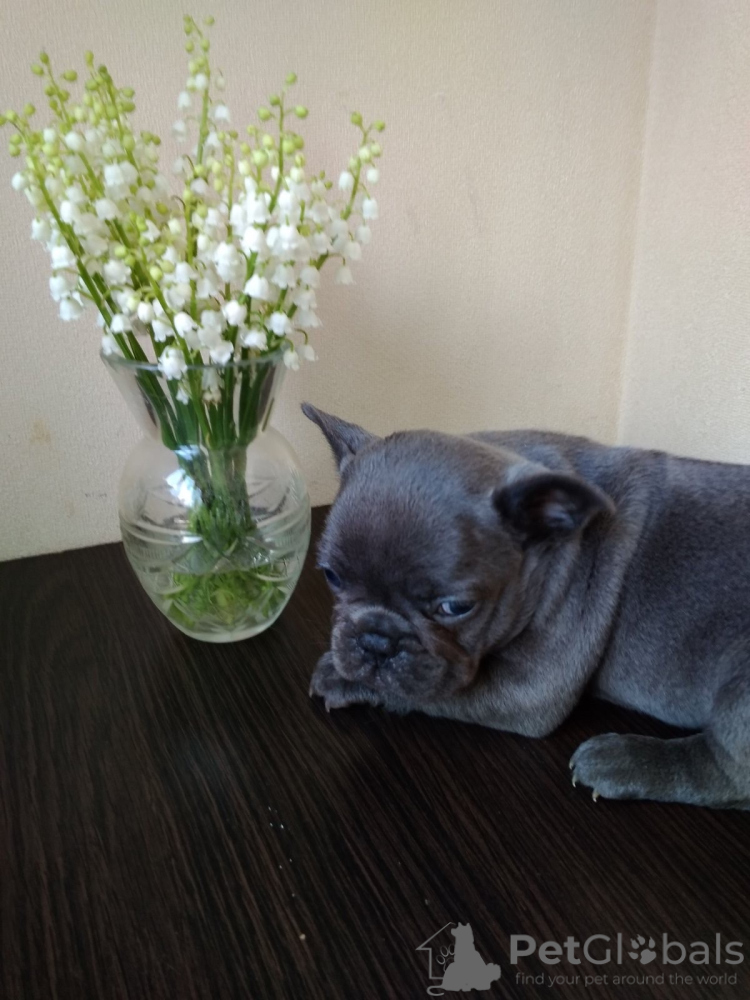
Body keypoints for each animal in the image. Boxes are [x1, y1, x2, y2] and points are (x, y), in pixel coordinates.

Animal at [302, 404, 750, 810]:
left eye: (455, 607)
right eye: (332, 577)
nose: (376, 639)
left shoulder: (532, 688)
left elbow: (432, 693)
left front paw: (343, 679)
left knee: (726, 777)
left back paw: (624, 761)